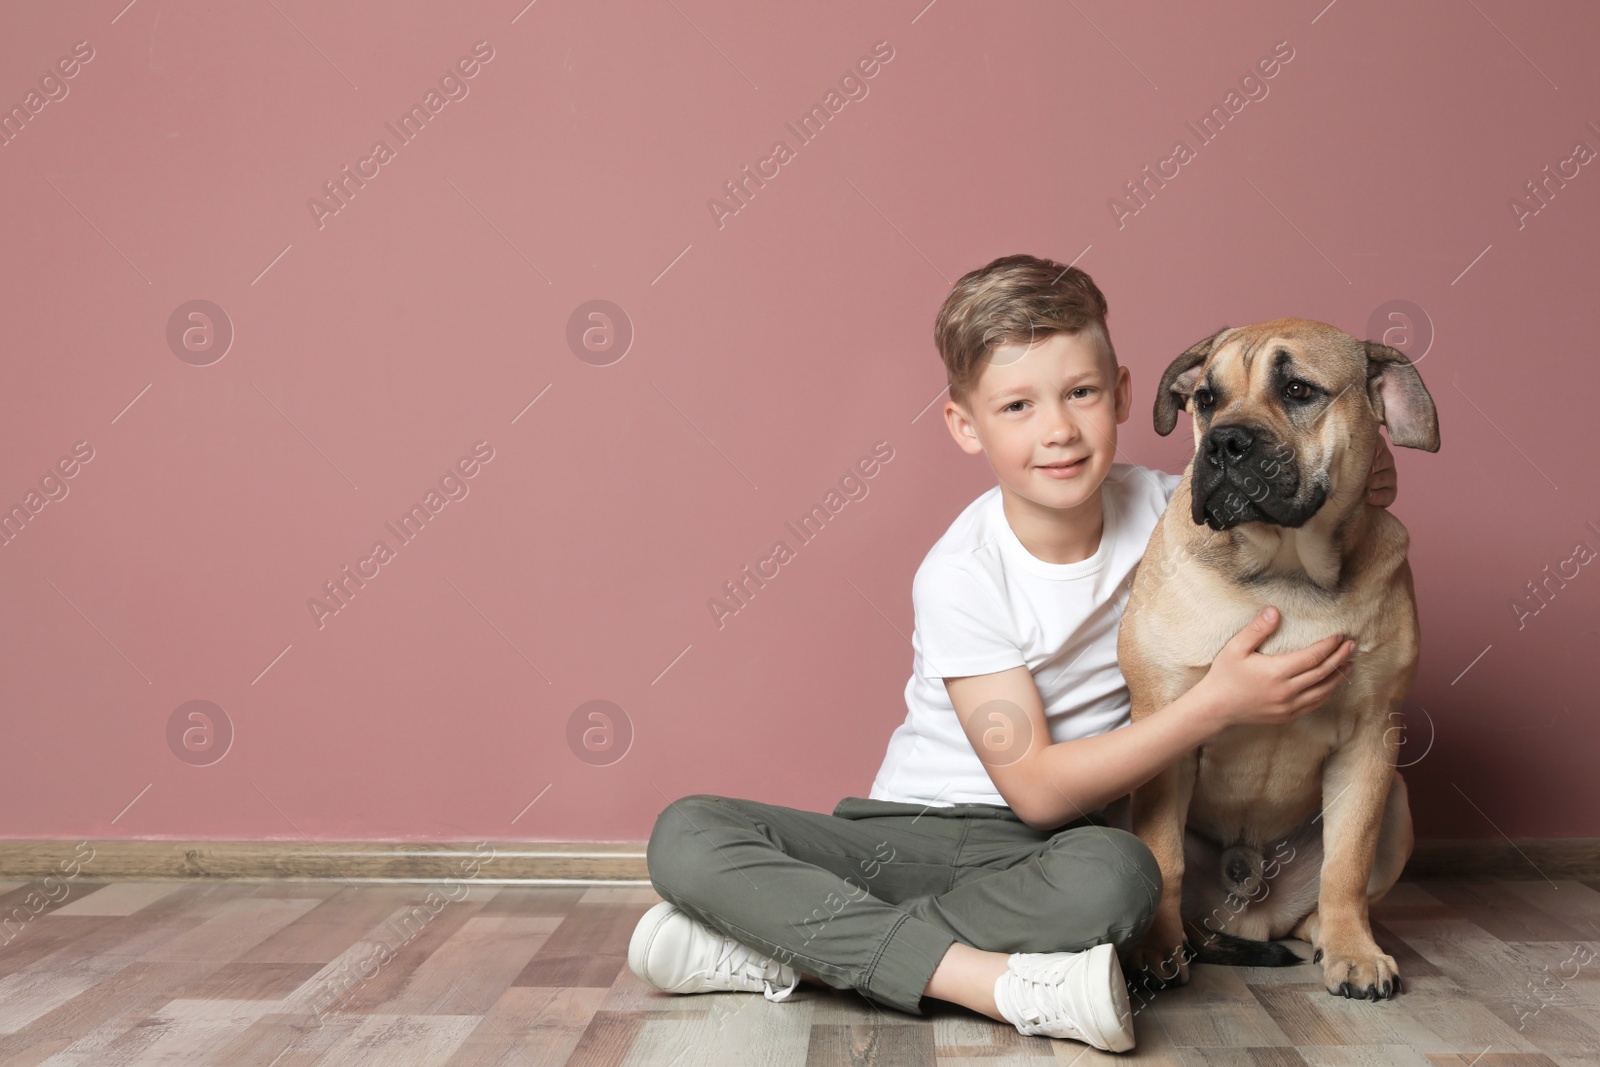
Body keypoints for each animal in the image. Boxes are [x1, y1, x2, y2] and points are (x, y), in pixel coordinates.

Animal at [1113, 316, 1440, 1004]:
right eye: (1205, 399)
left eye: (1297, 390)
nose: (1224, 444)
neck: (1284, 569)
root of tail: (1250, 911)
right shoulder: (1164, 725)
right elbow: (1164, 855)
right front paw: (1155, 951)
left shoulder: (1372, 738)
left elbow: (1347, 860)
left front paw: (1354, 953)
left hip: (1397, 801)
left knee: (1322, 899)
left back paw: (1331, 938)